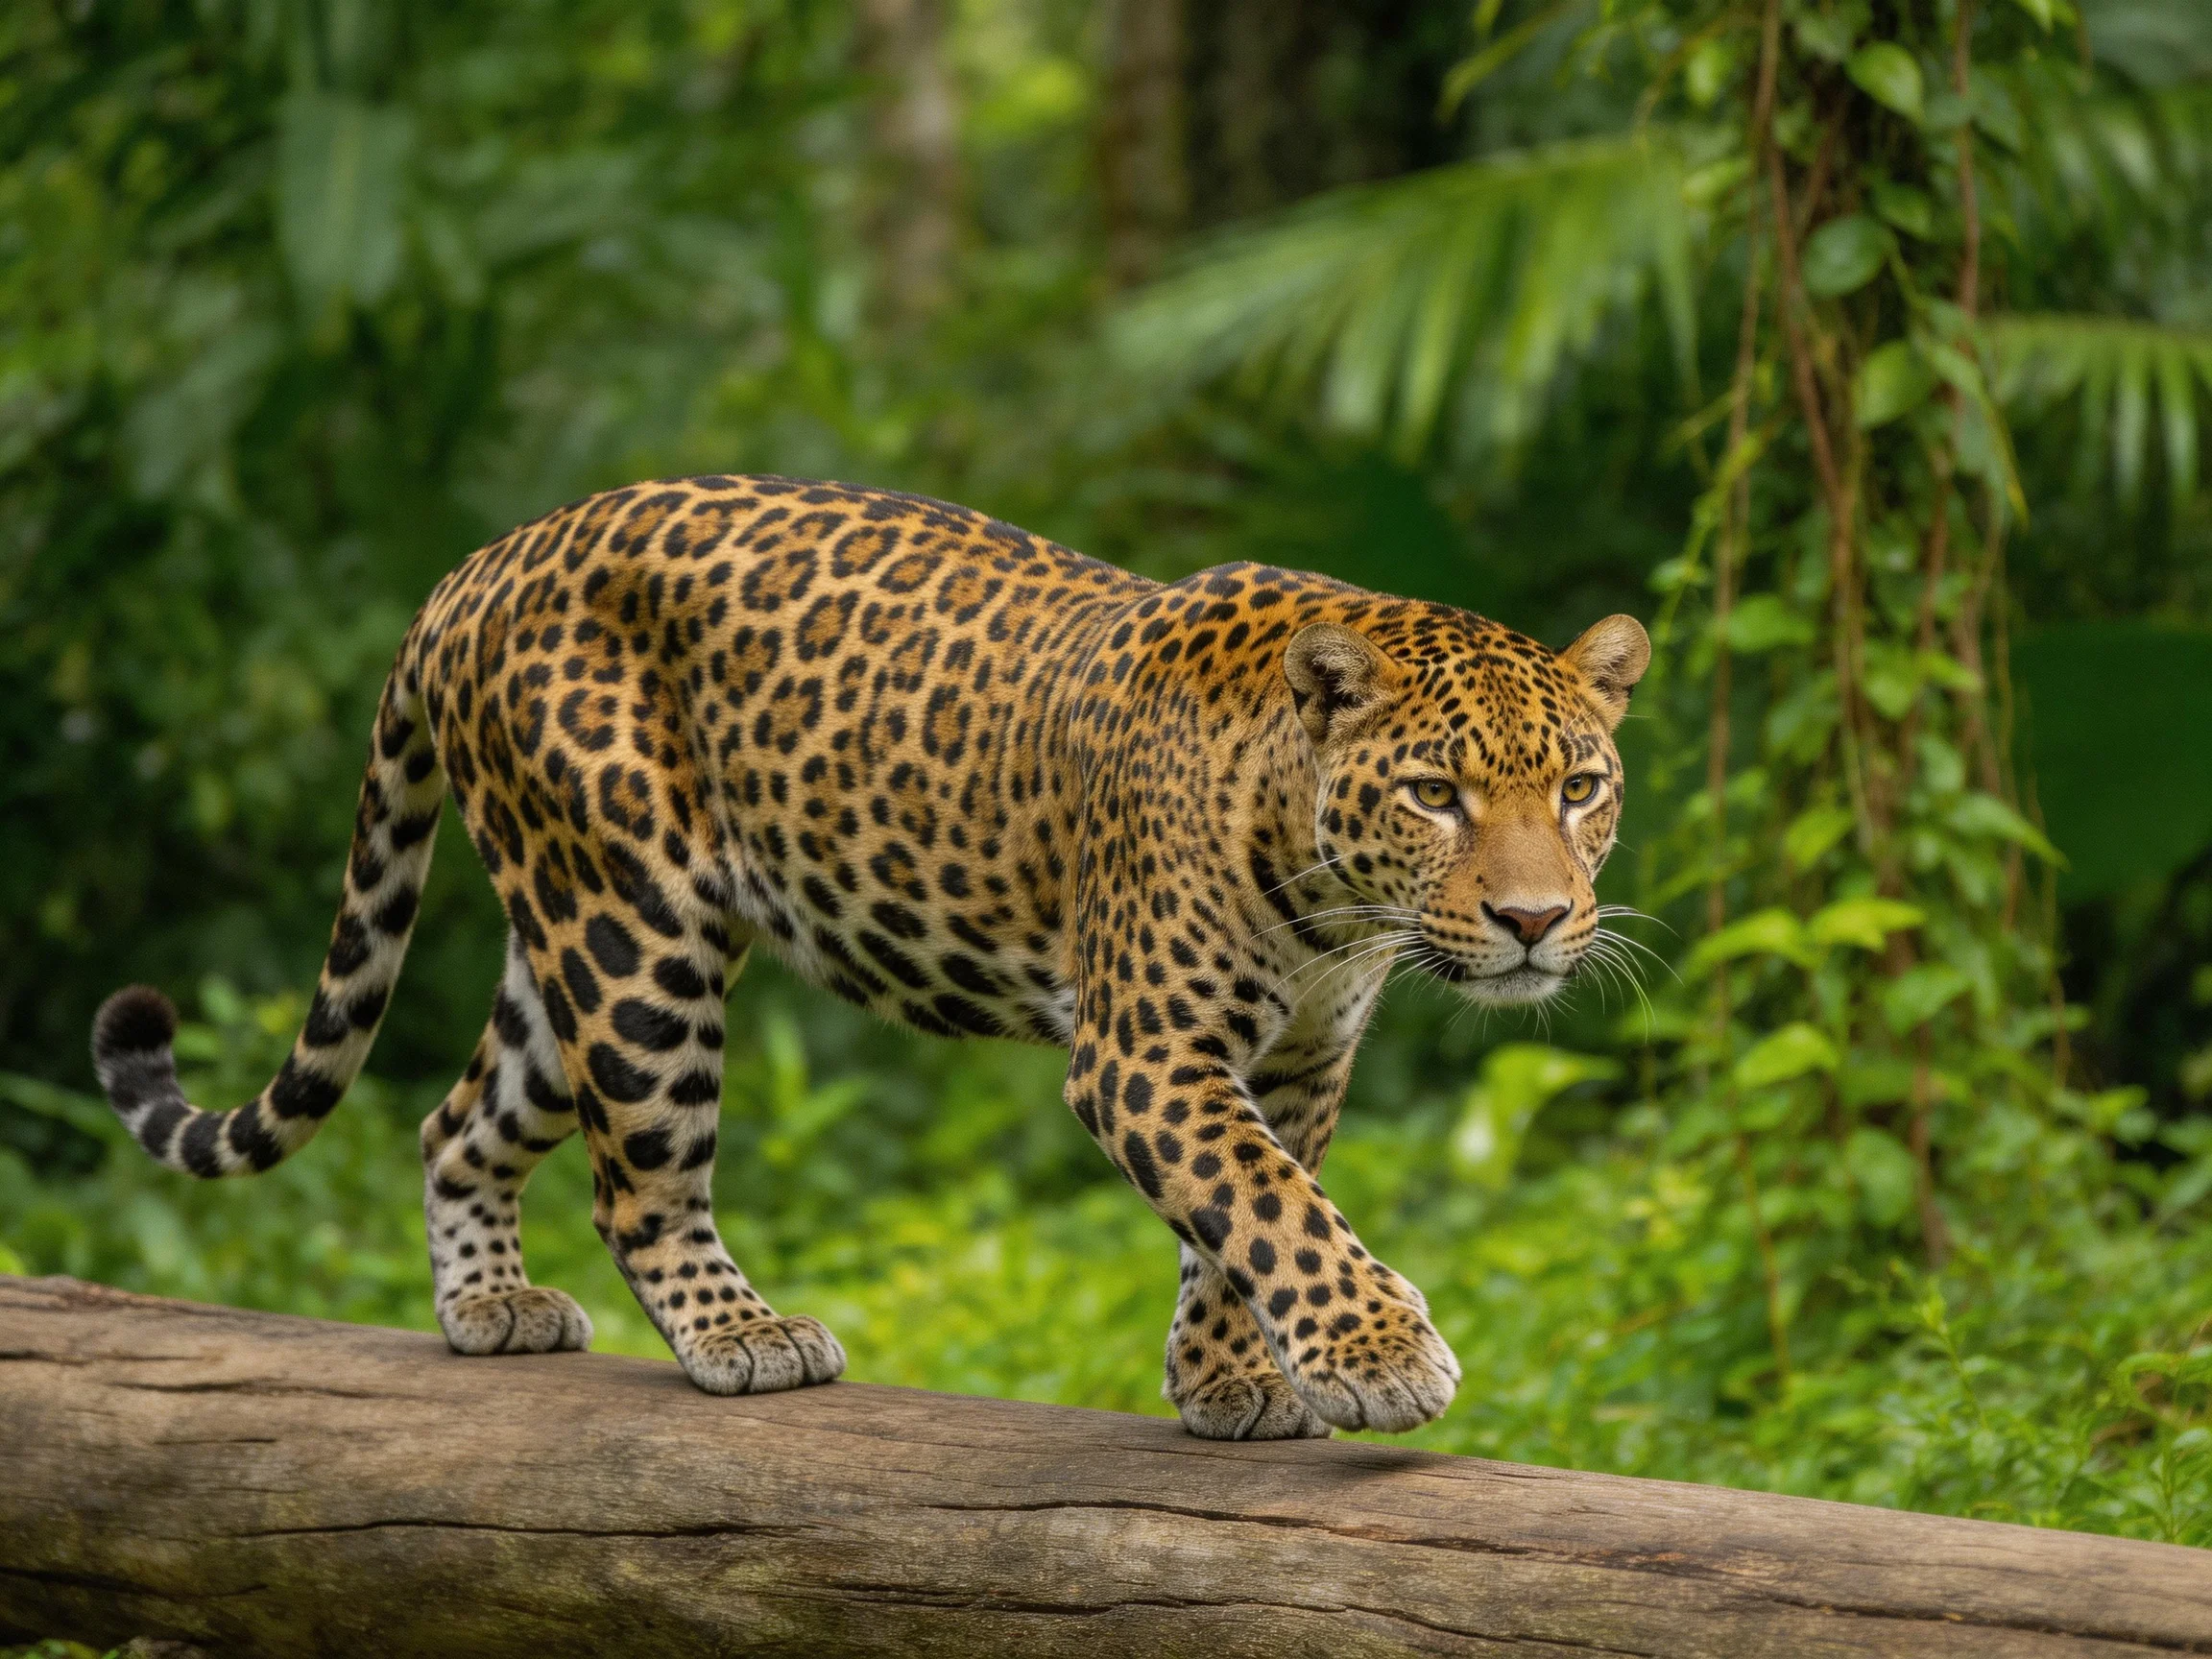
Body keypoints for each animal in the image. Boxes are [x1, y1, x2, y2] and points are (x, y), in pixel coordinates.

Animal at [91, 474, 1649, 1440]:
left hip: (569, 942)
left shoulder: (1305, 1056)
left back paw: (488, 1308)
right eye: (1435, 794)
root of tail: (484, 562)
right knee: (638, 1182)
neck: (1331, 892)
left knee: (457, 1119)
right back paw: (744, 1338)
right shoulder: (1146, 1054)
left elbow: (1239, 1220)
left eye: (1579, 787)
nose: (1534, 920)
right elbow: (1270, 1205)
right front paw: (1382, 1357)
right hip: (636, 934)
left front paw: (1227, 1382)